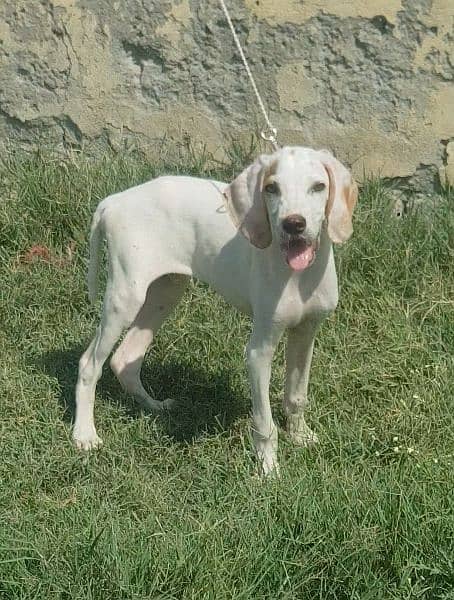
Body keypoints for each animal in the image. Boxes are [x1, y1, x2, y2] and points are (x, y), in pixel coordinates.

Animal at [73, 145, 358, 474]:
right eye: (272, 188)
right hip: (125, 298)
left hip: (166, 291)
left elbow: (296, 396)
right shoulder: (259, 350)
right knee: (89, 363)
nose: (293, 224)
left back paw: (155, 406)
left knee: (125, 358)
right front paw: (269, 469)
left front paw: (301, 437)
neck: (298, 276)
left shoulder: (306, 333)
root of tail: (114, 201)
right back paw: (84, 434)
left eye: (318, 187)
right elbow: (264, 423)